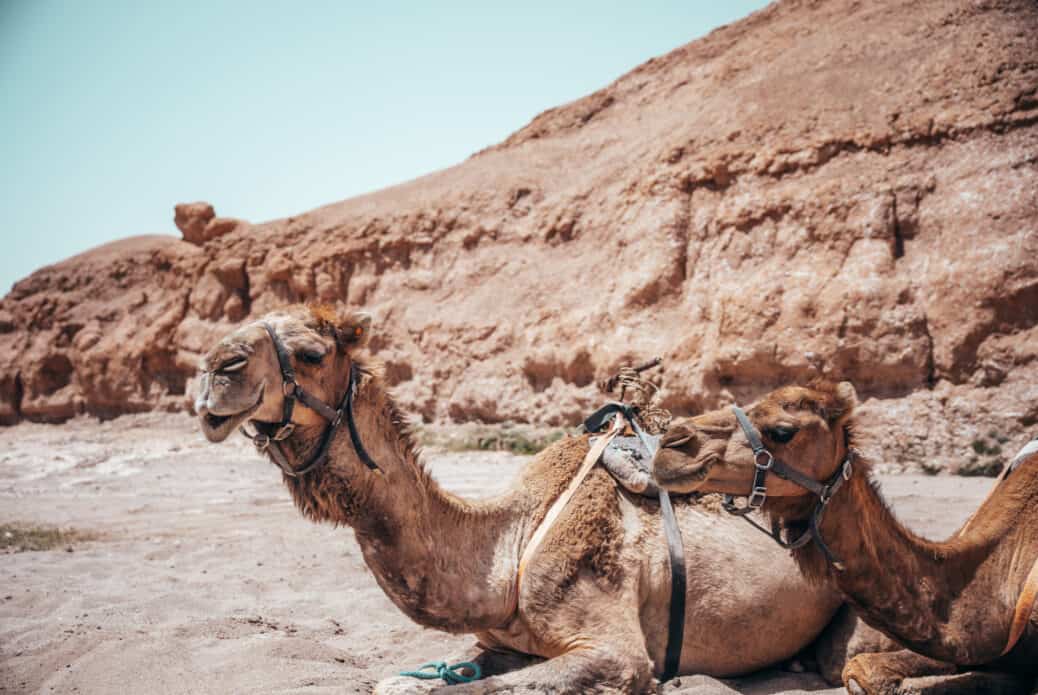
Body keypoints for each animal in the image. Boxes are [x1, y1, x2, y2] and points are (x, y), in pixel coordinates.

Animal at [193, 307, 851, 692]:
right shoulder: (492, 641)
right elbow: (403, 683)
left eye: (312, 353)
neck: (508, 549)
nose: (215, 369)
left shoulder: (616, 650)